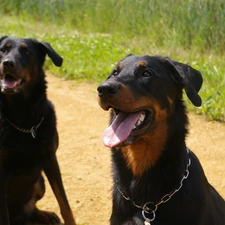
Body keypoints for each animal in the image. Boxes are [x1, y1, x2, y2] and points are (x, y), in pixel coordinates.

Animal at [0, 36, 76, 225]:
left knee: (30, 208)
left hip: (39, 182)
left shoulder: (50, 158)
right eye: (3, 50)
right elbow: (3, 215)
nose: (7, 63)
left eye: (26, 52)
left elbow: (64, 204)